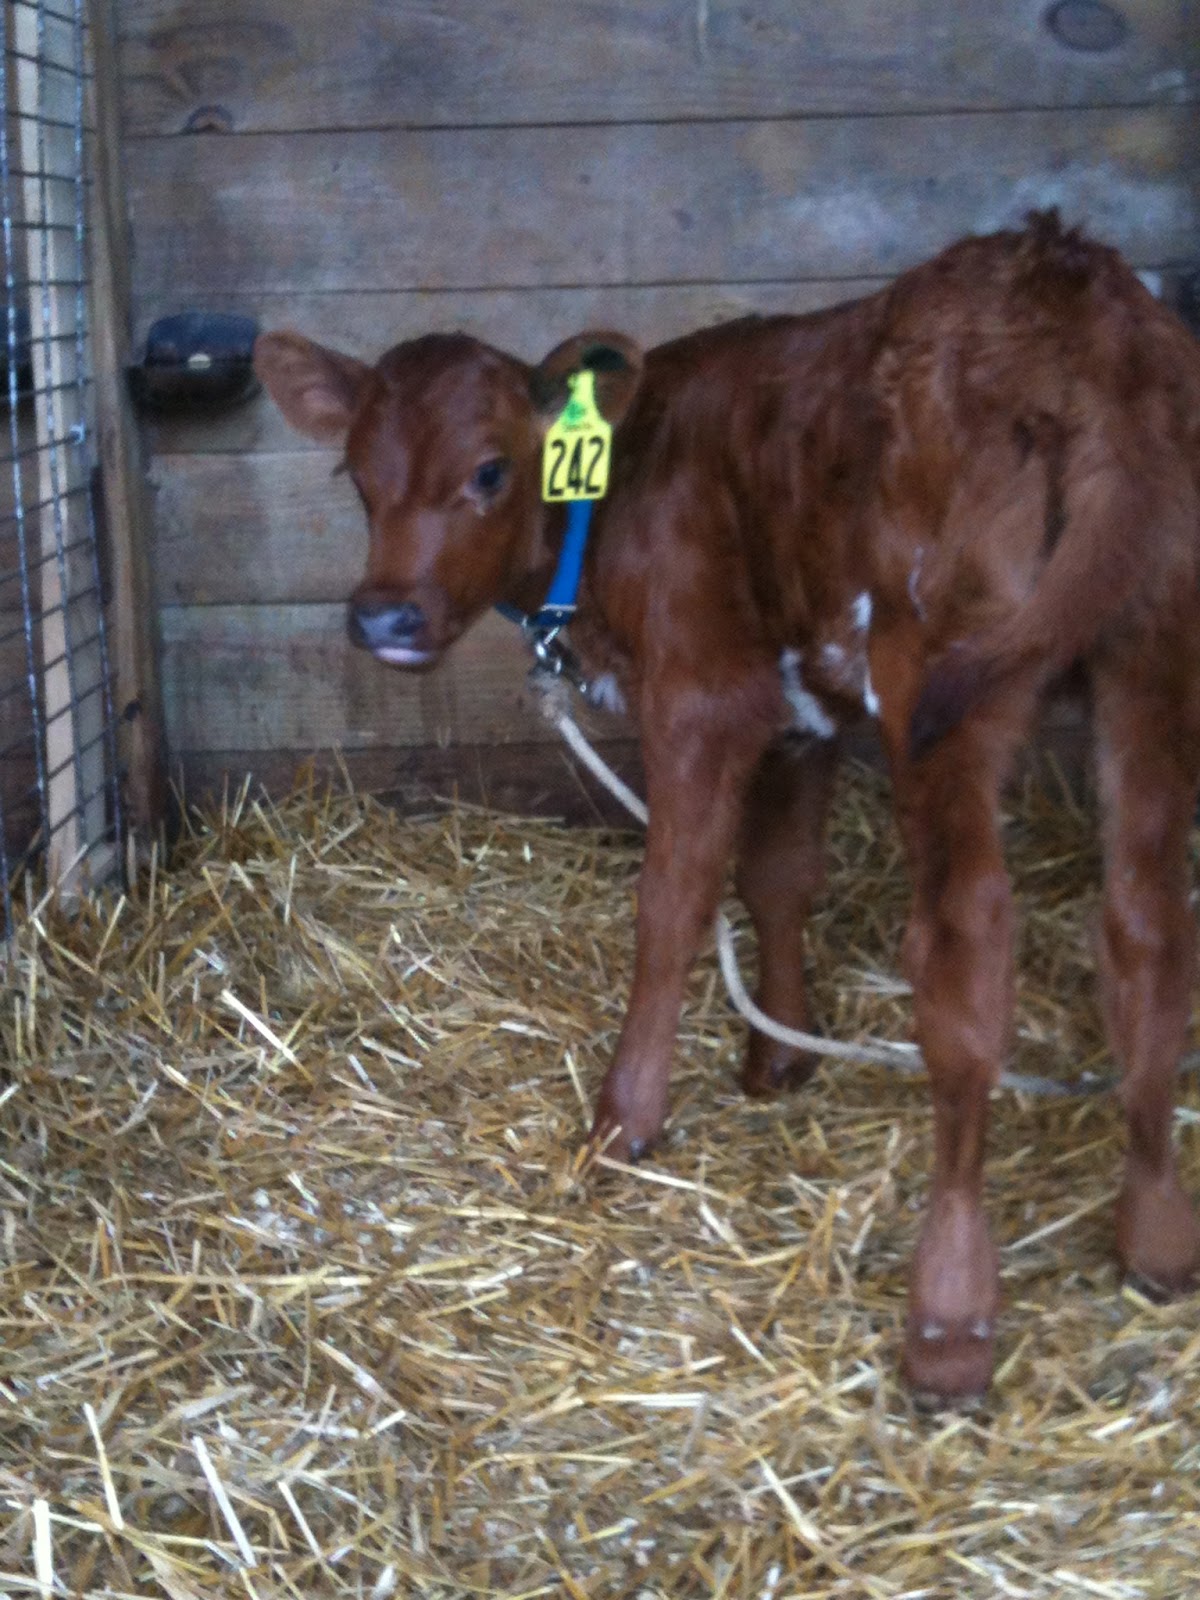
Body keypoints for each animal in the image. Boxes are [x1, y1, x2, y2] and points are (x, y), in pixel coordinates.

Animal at [254, 214, 1200, 1398]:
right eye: (356, 478)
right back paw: (1157, 1232)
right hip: (1152, 651)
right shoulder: (796, 711)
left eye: (489, 469)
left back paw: (949, 1309)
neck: (617, 505)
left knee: (969, 953)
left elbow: (674, 903)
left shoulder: (703, 702)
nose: (382, 615)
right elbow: (777, 878)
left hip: (945, 689)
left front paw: (624, 1119)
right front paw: (778, 1060)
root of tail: (1070, 287)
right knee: (1148, 927)